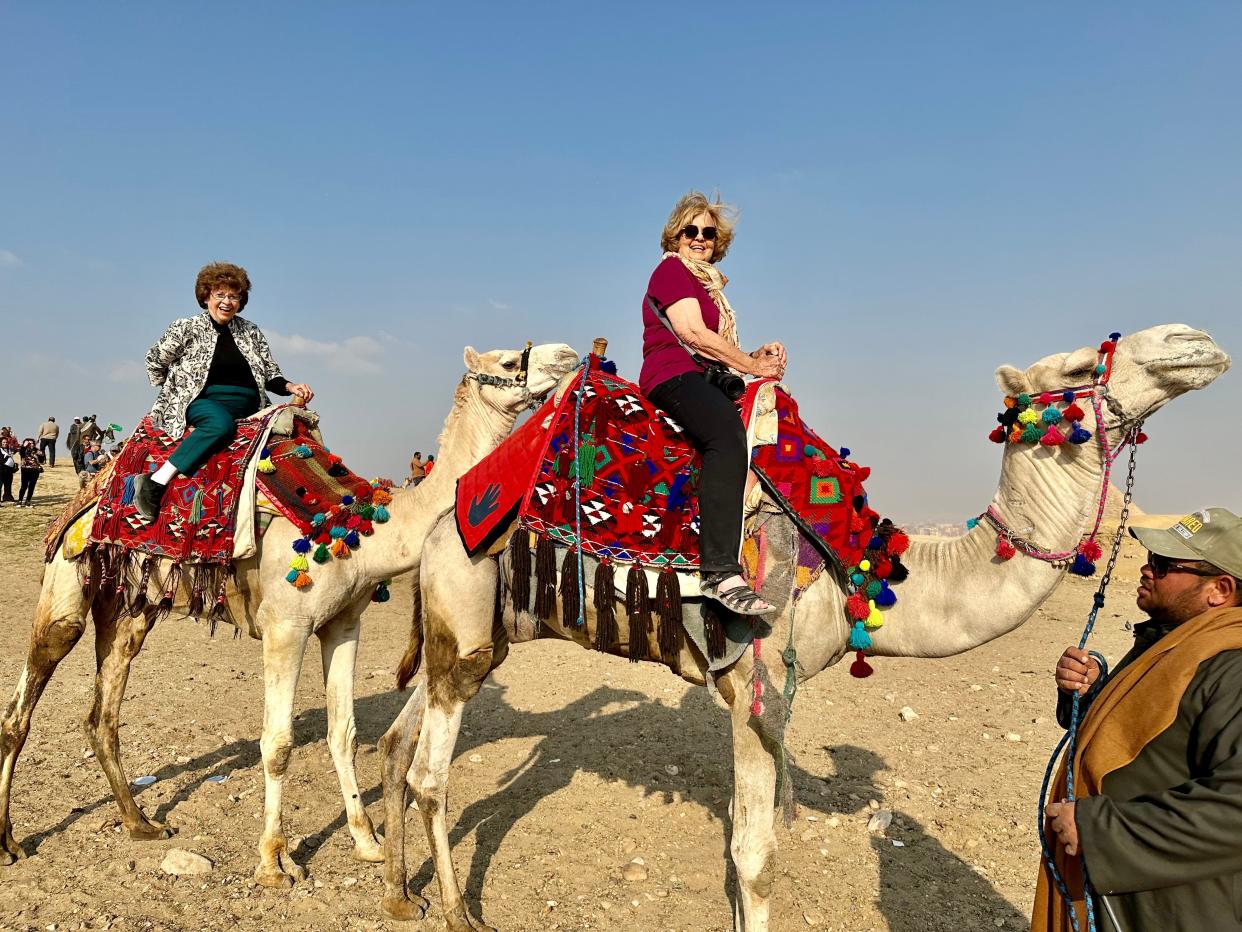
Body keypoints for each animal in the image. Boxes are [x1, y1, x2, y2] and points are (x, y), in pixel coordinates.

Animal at [0, 340, 581, 889]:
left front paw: (367, 842)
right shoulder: (286, 625)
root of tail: (92, 485)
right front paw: (275, 862)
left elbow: (343, 733)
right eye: (509, 361)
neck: (362, 529)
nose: (569, 355)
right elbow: (277, 744)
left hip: (129, 603)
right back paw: (11, 842)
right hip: (67, 578)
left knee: (105, 706)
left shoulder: (343, 624)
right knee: (24, 702)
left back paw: (141, 822)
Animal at [372, 325, 1227, 932]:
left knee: (401, 741)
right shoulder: (758, 688)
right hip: (467, 609)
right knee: (431, 772)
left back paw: (399, 894)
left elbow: (743, 853)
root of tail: (448, 511)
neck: (872, 573)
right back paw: (458, 914)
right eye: (1079, 368)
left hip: (475, 634)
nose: (1194, 340)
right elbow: (755, 857)